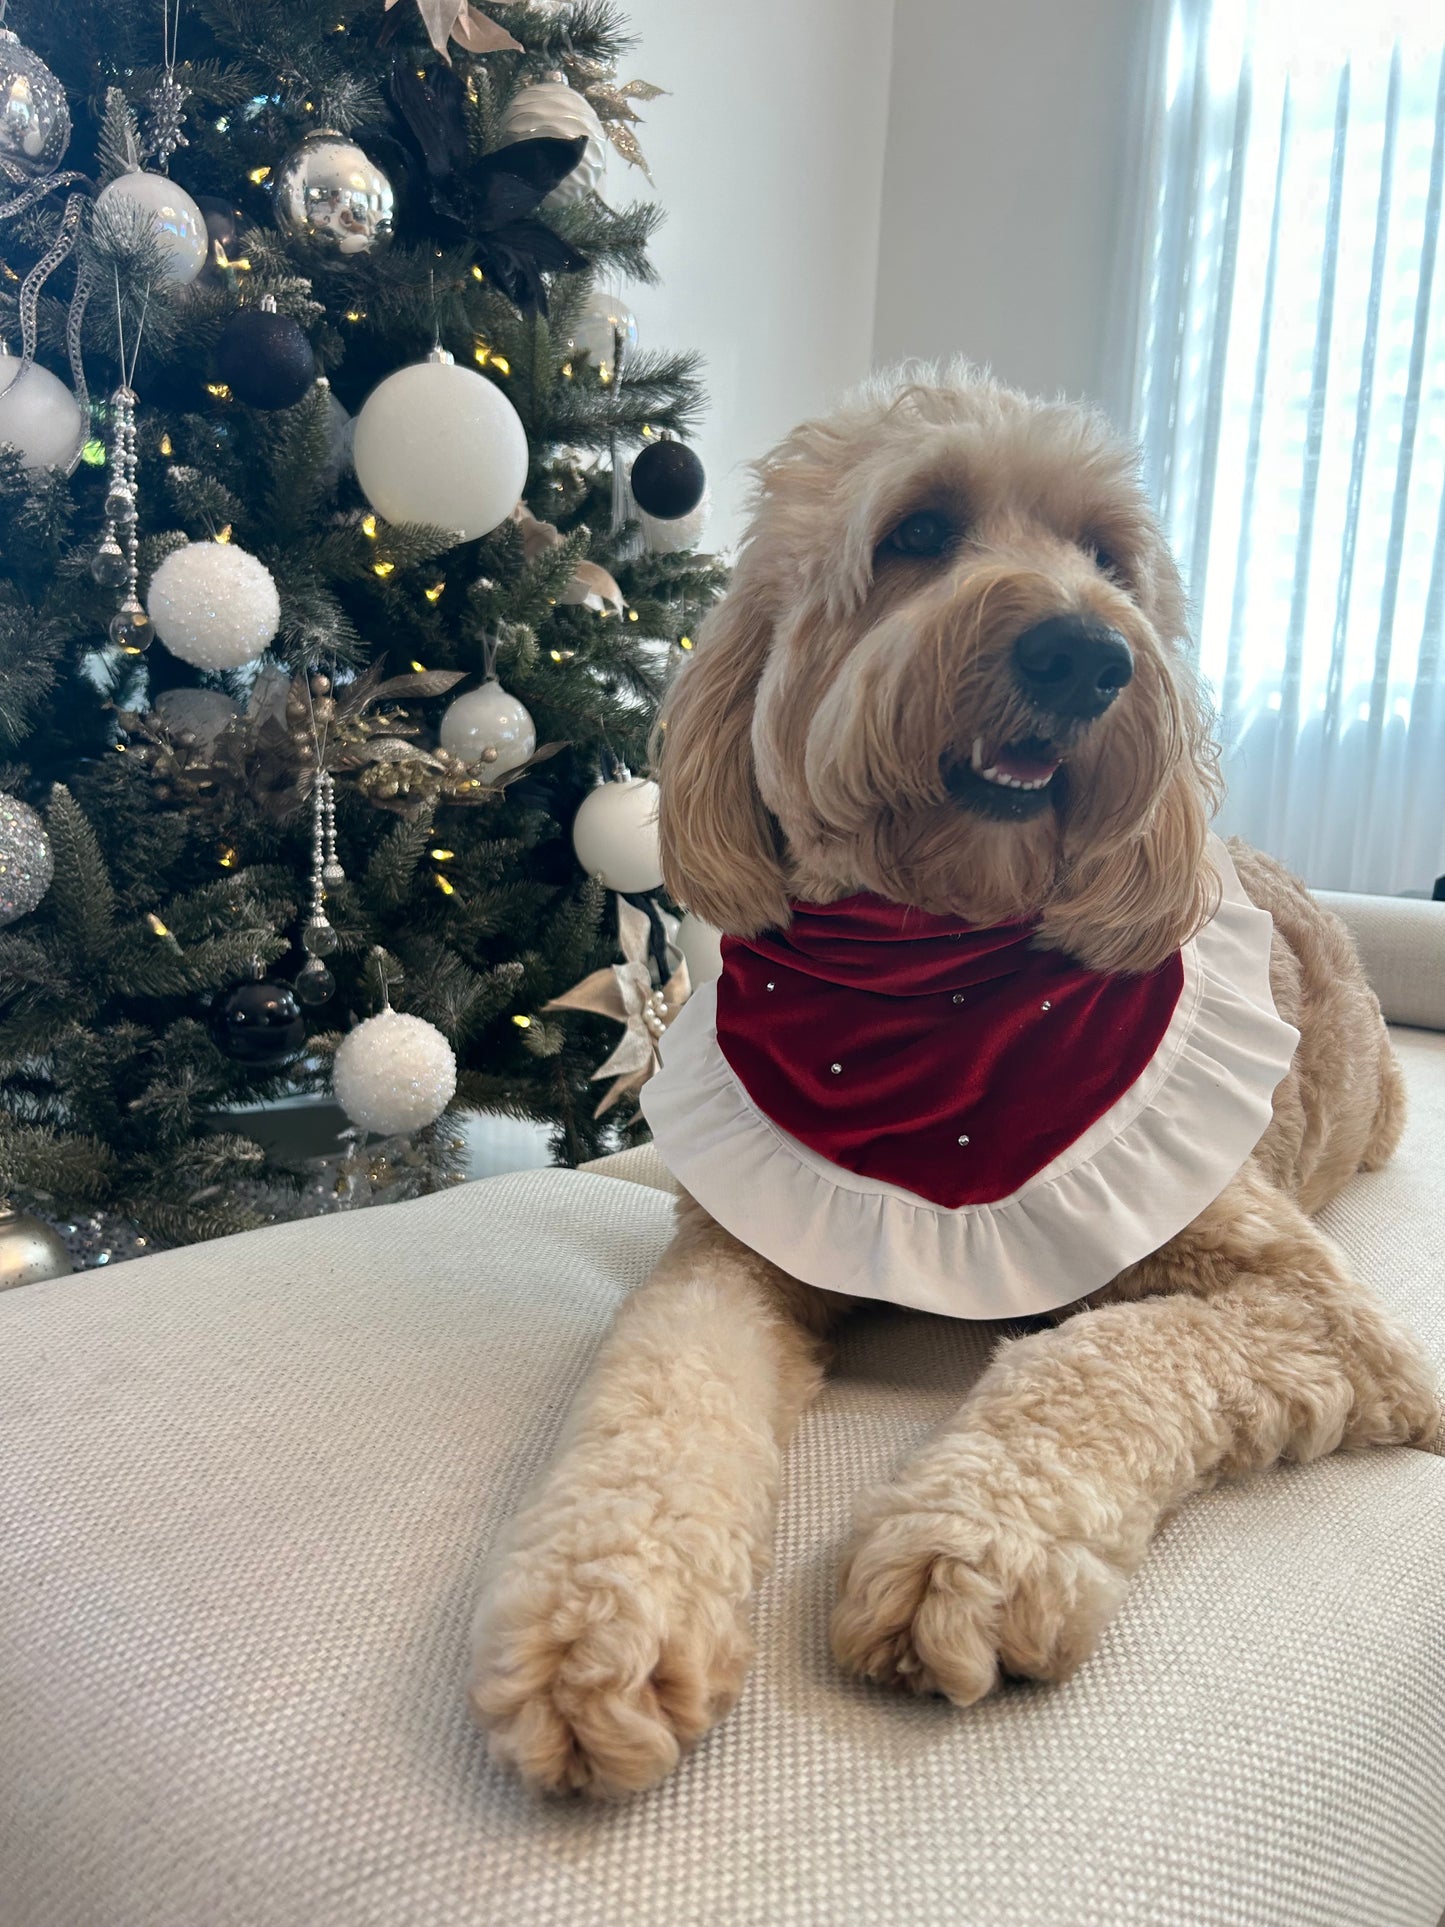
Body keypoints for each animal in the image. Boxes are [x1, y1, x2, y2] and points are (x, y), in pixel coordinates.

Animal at [470, 368, 1441, 1795]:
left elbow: (1103, 1354)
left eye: (1108, 558)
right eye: (917, 533)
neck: (933, 973)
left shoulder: (1320, 1316)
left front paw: (965, 1549)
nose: (1086, 655)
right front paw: (595, 1612)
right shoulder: (734, 1253)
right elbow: (656, 1389)